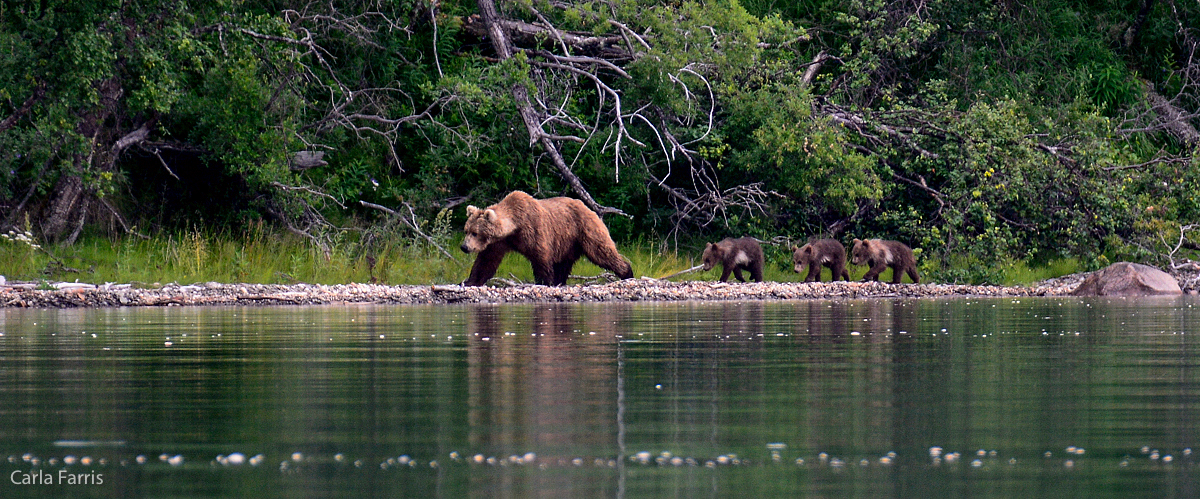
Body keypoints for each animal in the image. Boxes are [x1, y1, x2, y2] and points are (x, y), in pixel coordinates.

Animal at [456, 189, 633, 286]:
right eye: (466, 230)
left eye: (475, 232)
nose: (464, 247)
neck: (514, 226)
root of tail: (589, 208)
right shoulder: (499, 242)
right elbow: (486, 261)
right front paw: (469, 281)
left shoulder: (533, 230)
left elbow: (541, 257)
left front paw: (544, 281)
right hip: (568, 241)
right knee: (564, 263)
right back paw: (559, 281)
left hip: (585, 230)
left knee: (601, 252)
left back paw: (627, 272)